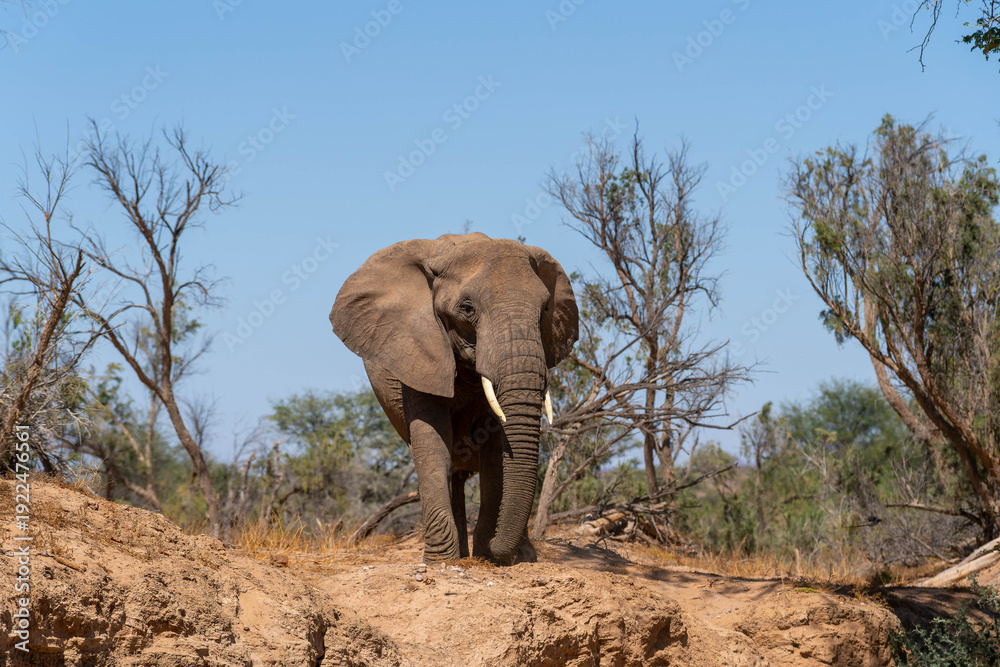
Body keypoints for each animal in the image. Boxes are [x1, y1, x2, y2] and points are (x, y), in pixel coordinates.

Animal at [330, 232, 578, 564]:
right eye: (467, 308)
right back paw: (460, 555)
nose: (499, 546)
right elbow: (433, 445)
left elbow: (496, 452)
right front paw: (440, 562)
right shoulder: (417, 350)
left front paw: (491, 555)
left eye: (545, 309)